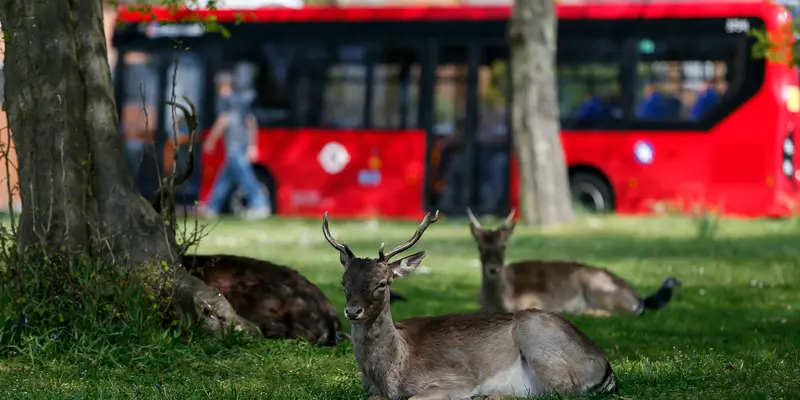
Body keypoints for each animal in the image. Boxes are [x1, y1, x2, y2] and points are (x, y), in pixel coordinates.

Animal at [322, 211, 616, 398]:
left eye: (383, 283)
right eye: (343, 282)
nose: (352, 311)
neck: (391, 377)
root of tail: (605, 367)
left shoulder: (456, 379)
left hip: (536, 336)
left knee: (558, 391)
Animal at [466, 208, 684, 318]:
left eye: (504, 245)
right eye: (479, 245)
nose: (492, 269)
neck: (500, 299)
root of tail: (639, 298)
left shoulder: (534, 300)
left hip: (599, 289)